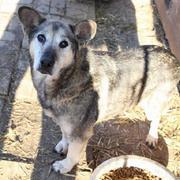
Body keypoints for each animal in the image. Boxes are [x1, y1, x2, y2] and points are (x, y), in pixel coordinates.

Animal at [18, 6, 180, 174]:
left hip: (154, 103)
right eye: (41, 37)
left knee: (156, 117)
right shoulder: (66, 123)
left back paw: (152, 137)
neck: (67, 77)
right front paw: (63, 144)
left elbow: (73, 154)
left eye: (63, 44)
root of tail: (170, 54)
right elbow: (64, 133)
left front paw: (64, 166)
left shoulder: (81, 132)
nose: (46, 62)